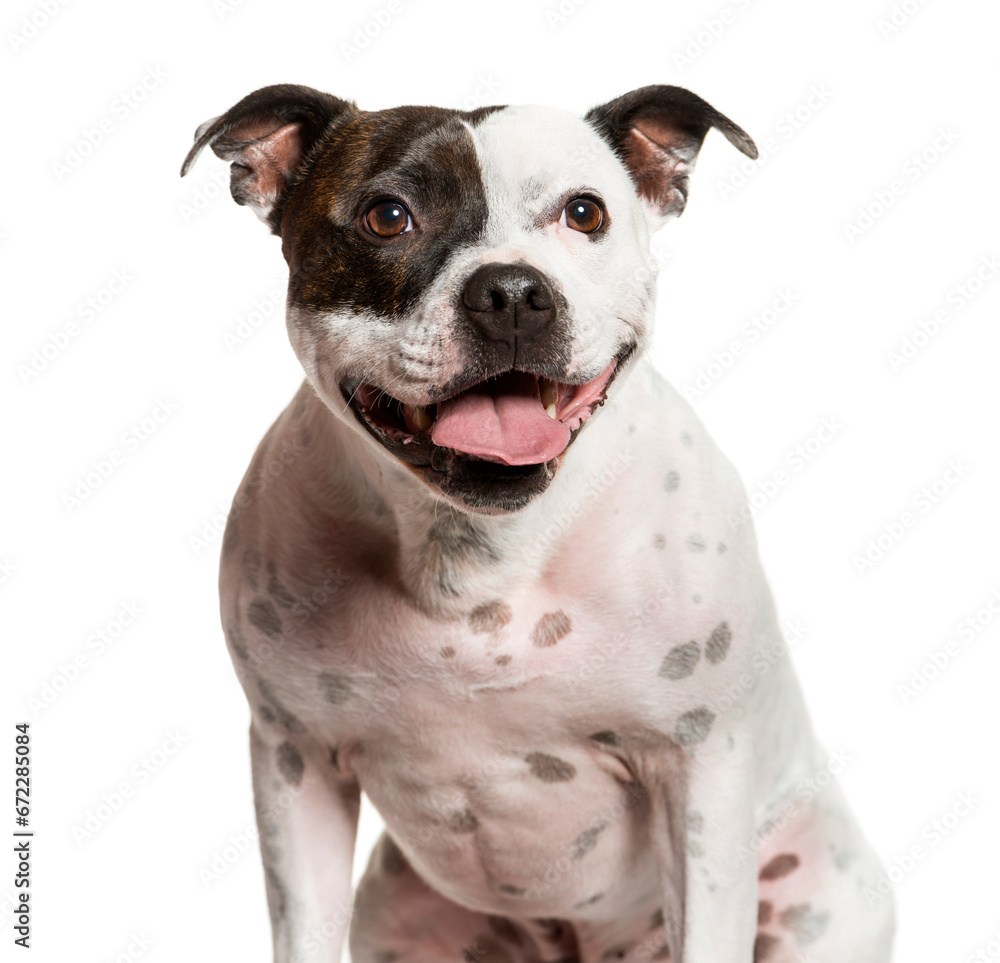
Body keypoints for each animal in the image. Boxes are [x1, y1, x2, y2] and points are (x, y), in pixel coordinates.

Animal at [184, 84, 896, 963]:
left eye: (584, 212)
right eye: (388, 216)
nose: (513, 292)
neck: (474, 558)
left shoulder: (699, 767)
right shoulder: (297, 762)